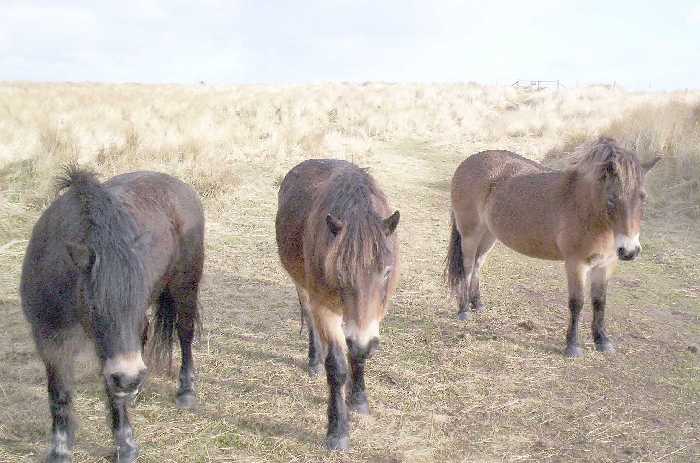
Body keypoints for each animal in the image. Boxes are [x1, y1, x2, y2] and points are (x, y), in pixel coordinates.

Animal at [19, 167, 205, 463]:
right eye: (95, 307)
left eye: (137, 302)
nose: (130, 378)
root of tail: (177, 184)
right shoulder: (49, 339)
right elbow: (59, 394)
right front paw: (59, 450)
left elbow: (111, 392)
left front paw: (126, 446)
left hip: (185, 285)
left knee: (184, 333)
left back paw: (185, 391)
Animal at [274, 160, 400, 450]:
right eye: (340, 274)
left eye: (386, 272)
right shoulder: (325, 308)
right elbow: (337, 366)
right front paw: (338, 431)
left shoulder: (375, 314)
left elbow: (358, 355)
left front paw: (359, 399)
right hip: (302, 286)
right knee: (308, 317)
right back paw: (313, 361)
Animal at [446, 138, 660, 358]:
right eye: (611, 199)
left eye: (643, 198)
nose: (630, 251)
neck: (587, 209)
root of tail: (467, 162)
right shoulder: (576, 264)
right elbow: (577, 302)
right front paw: (573, 346)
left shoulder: (605, 265)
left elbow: (599, 301)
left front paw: (602, 341)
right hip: (470, 234)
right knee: (468, 267)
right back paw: (463, 310)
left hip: (489, 235)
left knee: (478, 265)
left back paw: (477, 304)